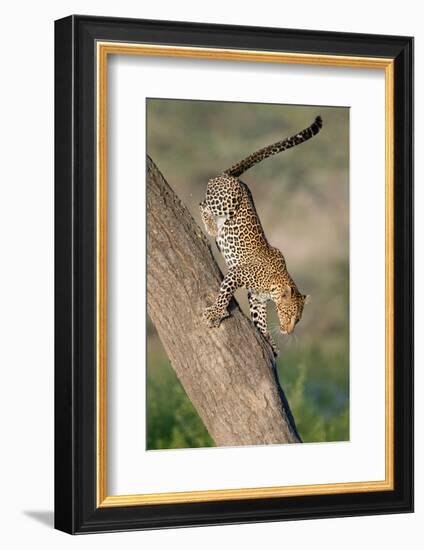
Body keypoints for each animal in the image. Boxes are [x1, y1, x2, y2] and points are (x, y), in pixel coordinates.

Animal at [200, 116, 322, 358]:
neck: (275, 285)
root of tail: (231, 177)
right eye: (289, 315)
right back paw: (211, 226)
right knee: (203, 203)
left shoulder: (256, 298)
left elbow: (261, 321)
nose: (288, 331)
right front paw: (216, 313)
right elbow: (224, 295)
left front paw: (270, 342)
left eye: (298, 320)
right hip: (227, 199)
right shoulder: (237, 274)